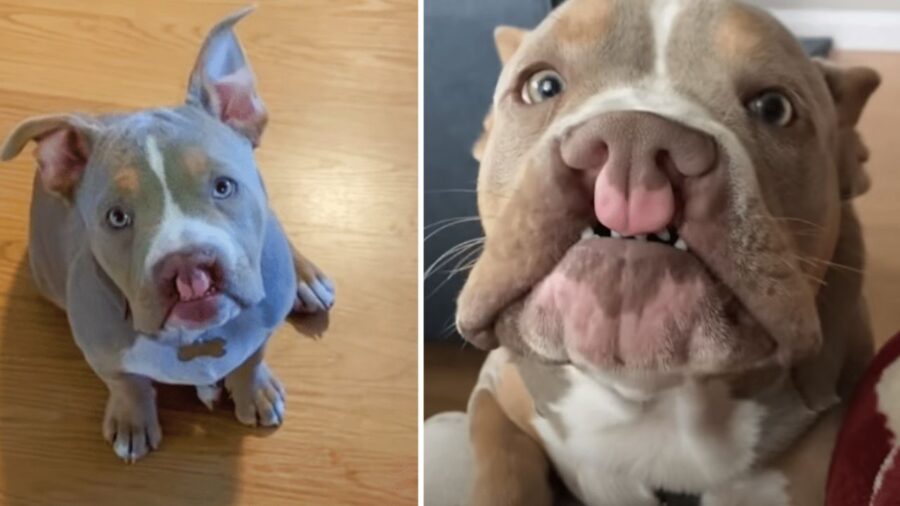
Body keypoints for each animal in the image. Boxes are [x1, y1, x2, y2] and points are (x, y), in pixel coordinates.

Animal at [0, 5, 334, 462]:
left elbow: (251, 359)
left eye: (223, 186)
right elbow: (127, 383)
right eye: (117, 217)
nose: (188, 265)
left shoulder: (263, 323)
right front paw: (133, 421)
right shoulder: (101, 351)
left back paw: (307, 278)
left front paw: (255, 391)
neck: (196, 338)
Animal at [428, 0, 880, 504]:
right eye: (541, 85)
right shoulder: (494, 394)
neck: (650, 397)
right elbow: (501, 472)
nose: (635, 139)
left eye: (774, 107)